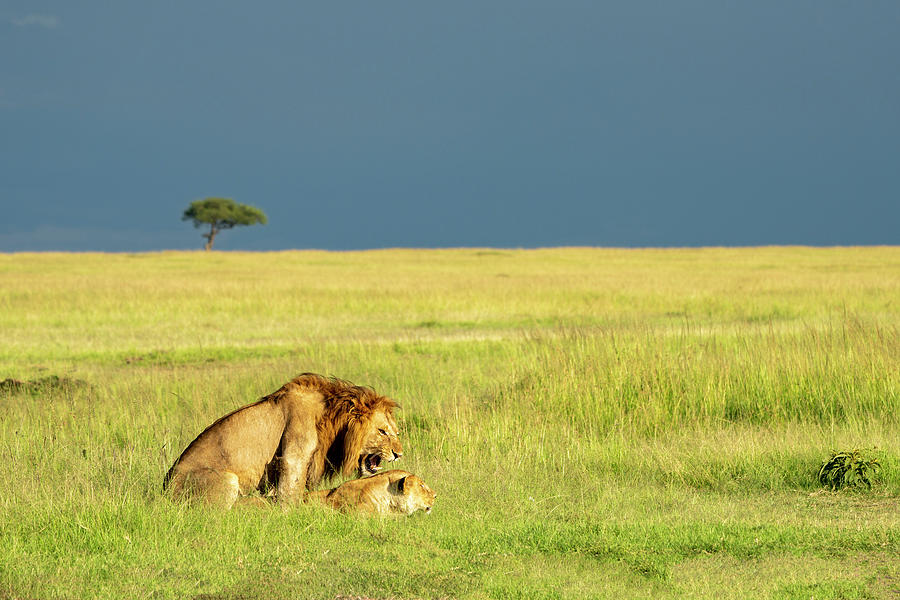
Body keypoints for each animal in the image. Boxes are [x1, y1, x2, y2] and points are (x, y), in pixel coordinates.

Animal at [163, 373, 402, 508]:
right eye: (382, 432)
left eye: (396, 432)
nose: (399, 454)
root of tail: (164, 490)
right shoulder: (293, 457)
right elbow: (292, 496)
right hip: (227, 480)